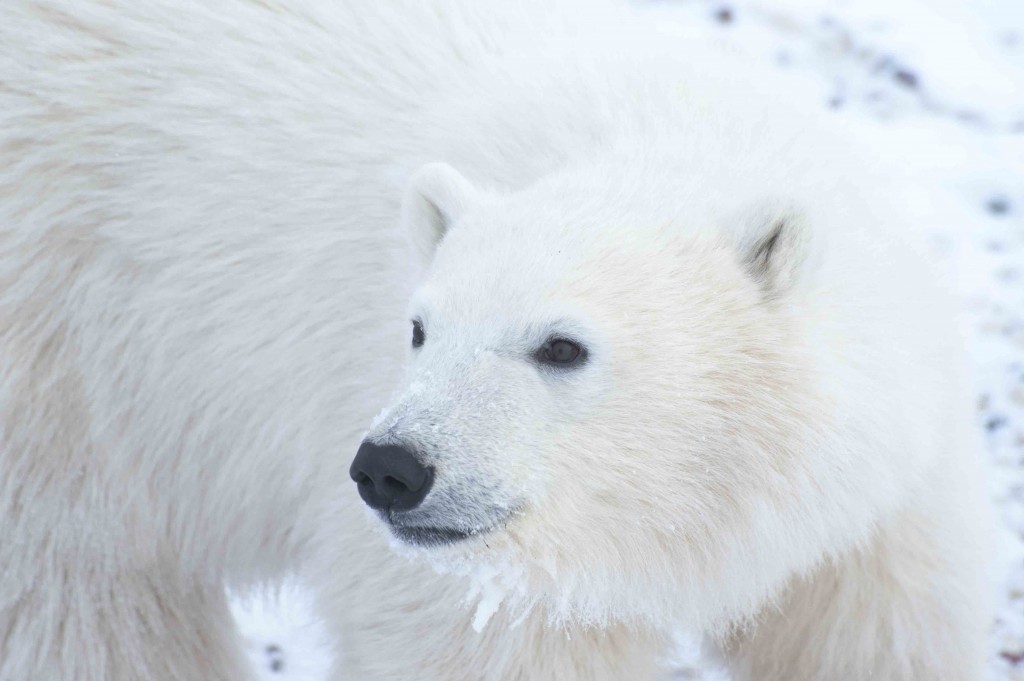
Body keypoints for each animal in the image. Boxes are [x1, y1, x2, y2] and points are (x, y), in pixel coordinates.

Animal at [0, 0, 991, 680]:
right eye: (419, 328)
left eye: (561, 346)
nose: (392, 467)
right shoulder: (471, 583)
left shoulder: (878, 510)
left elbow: (882, 637)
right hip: (60, 364)